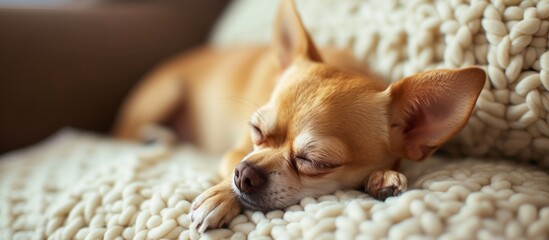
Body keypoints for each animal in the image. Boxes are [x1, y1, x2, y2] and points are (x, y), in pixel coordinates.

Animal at [112, 0, 484, 232]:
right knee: (127, 131)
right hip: (166, 91)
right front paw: (220, 196)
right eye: (256, 131)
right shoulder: (235, 152)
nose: (245, 173)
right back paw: (158, 136)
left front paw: (384, 177)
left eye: (315, 161)